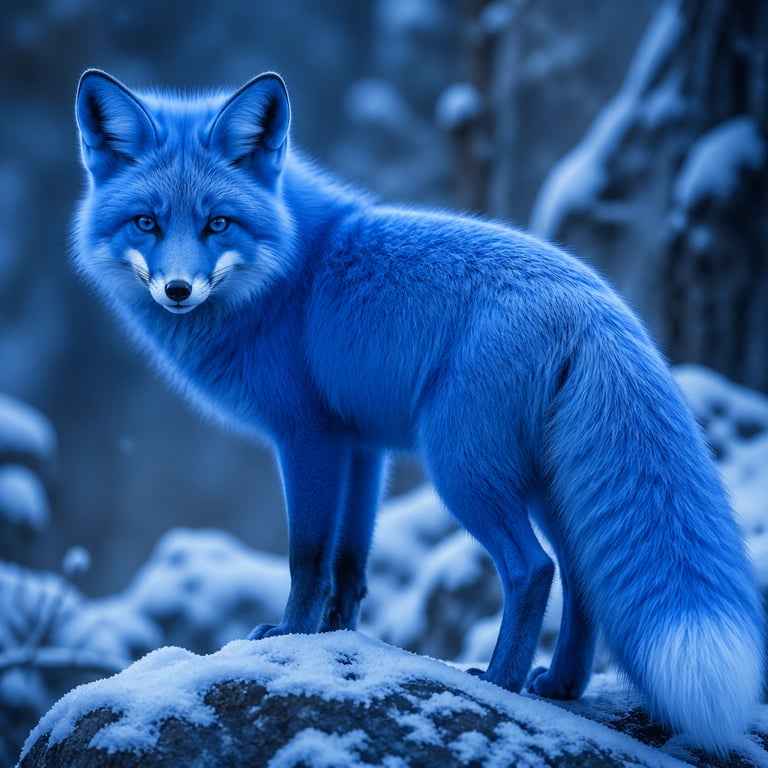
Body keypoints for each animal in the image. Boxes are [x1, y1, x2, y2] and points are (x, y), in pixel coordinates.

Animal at [73, 69, 763, 755]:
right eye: (145, 223)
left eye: (218, 224)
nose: (178, 290)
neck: (288, 272)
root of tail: (593, 302)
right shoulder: (362, 446)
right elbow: (349, 562)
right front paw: (334, 640)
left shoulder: (308, 436)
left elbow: (307, 554)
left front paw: (290, 635)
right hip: (548, 483)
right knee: (581, 576)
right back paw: (560, 685)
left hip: (462, 468)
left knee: (533, 569)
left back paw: (501, 682)